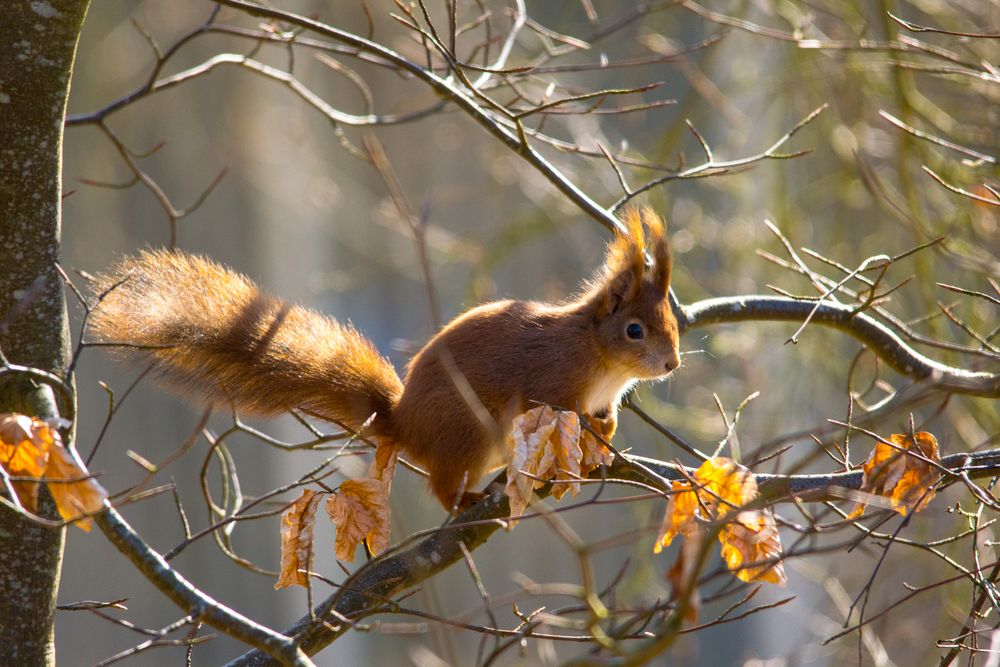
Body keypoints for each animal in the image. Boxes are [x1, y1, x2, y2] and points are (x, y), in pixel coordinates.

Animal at [90, 206, 680, 508]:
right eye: (634, 330)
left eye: (672, 324)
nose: (672, 364)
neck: (598, 359)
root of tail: (405, 425)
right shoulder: (551, 379)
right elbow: (559, 410)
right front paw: (582, 431)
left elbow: (603, 417)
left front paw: (605, 431)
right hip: (466, 431)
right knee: (442, 486)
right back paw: (465, 503)